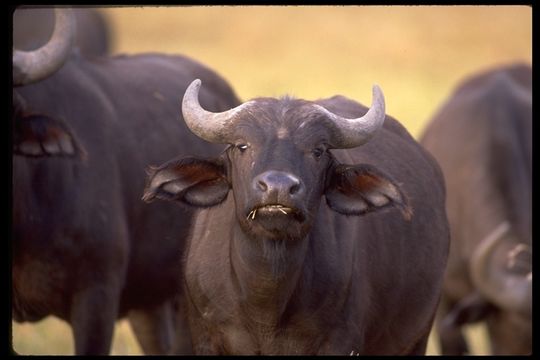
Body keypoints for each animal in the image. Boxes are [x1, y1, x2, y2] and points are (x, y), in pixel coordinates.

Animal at [143, 79, 452, 354]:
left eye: (317, 150)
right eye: (242, 146)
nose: (278, 187)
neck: (266, 301)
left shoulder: (341, 342)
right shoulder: (206, 337)